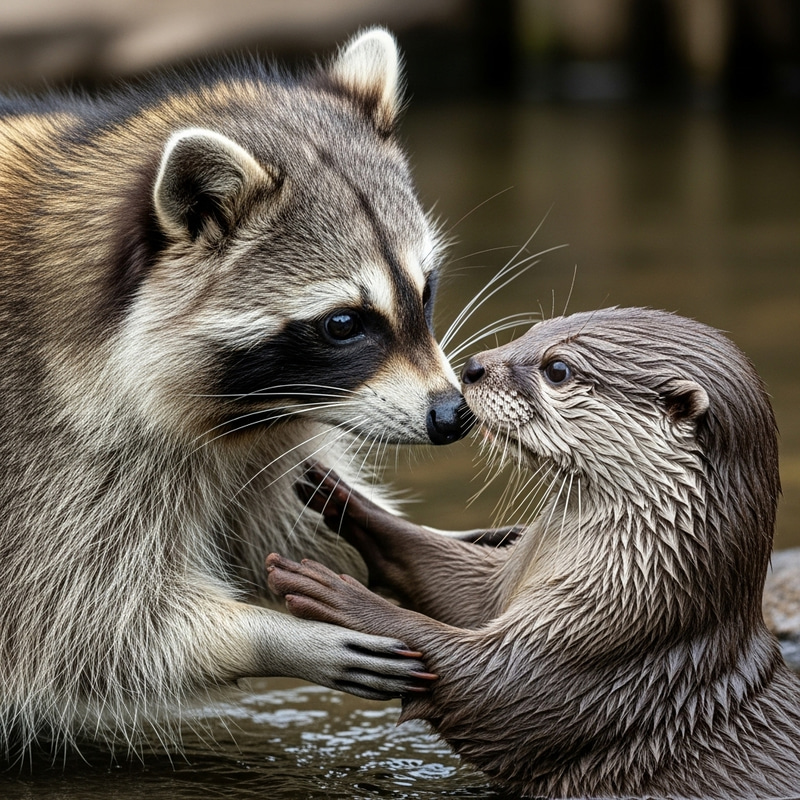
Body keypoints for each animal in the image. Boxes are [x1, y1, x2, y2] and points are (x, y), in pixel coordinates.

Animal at [0, 28, 469, 755]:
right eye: (344, 324)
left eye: (424, 291)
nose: (451, 415)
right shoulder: (47, 444)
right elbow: (77, 626)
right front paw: (273, 637)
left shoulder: (263, 431)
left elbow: (281, 523)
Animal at [267, 307, 800, 799]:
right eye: (534, 329)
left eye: (557, 369)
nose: (473, 367)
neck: (655, 586)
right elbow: (463, 591)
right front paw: (341, 495)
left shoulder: (599, 646)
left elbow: (492, 691)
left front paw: (333, 594)